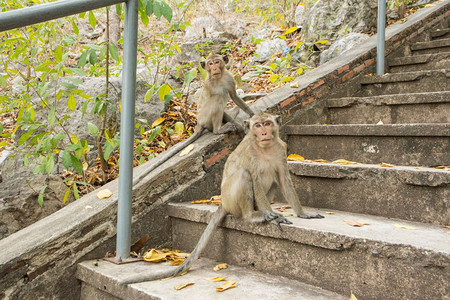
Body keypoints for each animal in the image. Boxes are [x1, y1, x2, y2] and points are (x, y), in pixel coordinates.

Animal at [132, 54, 255, 185]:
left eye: (217, 62)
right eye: (210, 63)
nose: (214, 68)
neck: (219, 78)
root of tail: (199, 123)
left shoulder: (229, 78)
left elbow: (234, 96)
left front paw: (251, 115)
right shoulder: (210, 85)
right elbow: (218, 100)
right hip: (206, 118)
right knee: (218, 99)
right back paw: (218, 130)